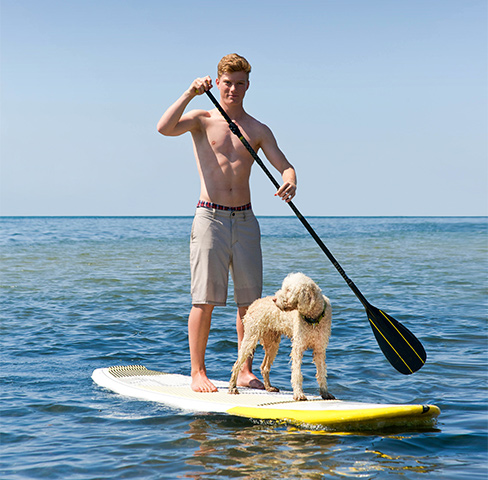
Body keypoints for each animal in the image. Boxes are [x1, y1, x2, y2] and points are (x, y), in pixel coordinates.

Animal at [229, 274, 336, 402]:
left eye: (289, 290)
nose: (274, 300)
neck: (313, 319)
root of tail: (254, 303)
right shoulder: (298, 347)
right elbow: (297, 373)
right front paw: (299, 394)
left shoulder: (320, 349)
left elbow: (321, 372)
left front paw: (325, 393)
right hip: (250, 338)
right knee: (237, 364)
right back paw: (232, 387)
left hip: (272, 343)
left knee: (264, 367)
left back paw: (269, 387)